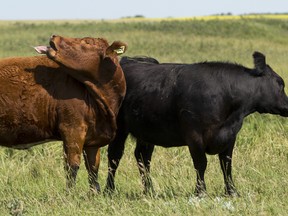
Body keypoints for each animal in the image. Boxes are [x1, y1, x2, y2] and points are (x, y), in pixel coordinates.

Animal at [0, 35, 127, 192]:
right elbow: (72, 167)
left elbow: (93, 169)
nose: (54, 36)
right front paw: (70, 194)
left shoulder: (93, 139)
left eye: (87, 42)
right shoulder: (72, 129)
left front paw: (94, 193)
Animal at [104, 52, 288, 196]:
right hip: (119, 128)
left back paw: (149, 191)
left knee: (143, 157)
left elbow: (226, 164)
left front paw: (232, 192)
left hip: (146, 130)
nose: (287, 106)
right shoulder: (194, 135)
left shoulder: (230, 135)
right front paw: (200, 192)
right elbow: (201, 164)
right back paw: (109, 190)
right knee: (115, 156)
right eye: (280, 83)